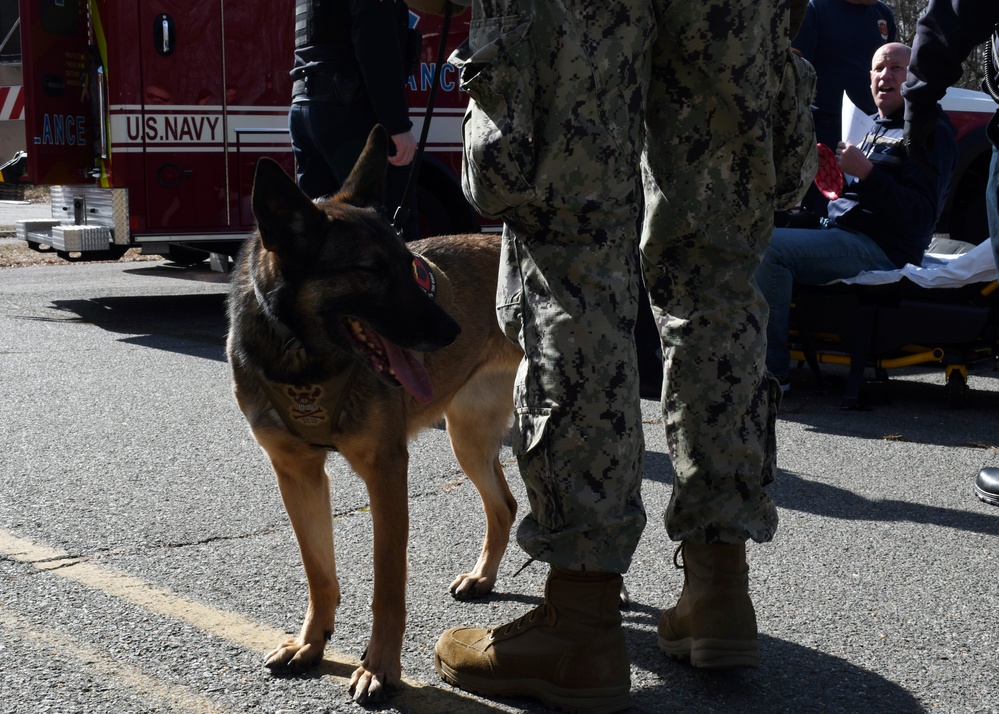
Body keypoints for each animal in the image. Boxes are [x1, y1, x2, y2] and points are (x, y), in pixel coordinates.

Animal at [228, 125, 524, 700]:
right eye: (370, 271)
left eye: (410, 265)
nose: (452, 330)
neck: (304, 360)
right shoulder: (297, 474)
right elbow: (319, 572)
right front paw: (311, 643)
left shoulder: (386, 472)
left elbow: (388, 586)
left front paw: (381, 667)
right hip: (469, 438)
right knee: (504, 504)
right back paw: (483, 577)